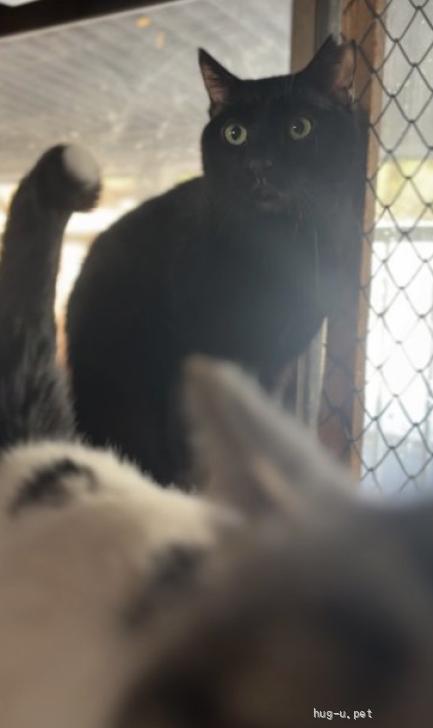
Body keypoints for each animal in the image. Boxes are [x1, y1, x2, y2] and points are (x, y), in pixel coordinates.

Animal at [66, 36, 366, 486]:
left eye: (299, 128)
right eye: (234, 134)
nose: (258, 165)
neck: (280, 249)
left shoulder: (277, 364)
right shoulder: (198, 360)